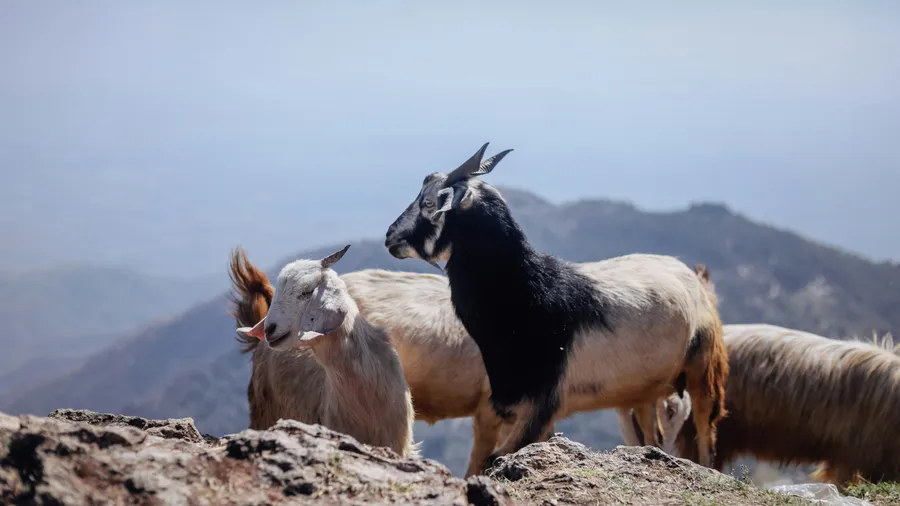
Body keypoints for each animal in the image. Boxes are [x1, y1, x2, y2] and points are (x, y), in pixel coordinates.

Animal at [383, 142, 729, 470]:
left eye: (429, 203)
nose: (390, 237)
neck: (529, 294)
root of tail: (692, 277)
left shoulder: (542, 404)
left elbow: (494, 458)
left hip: (703, 369)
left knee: (706, 434)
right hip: (644, 391)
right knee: (653, 435)